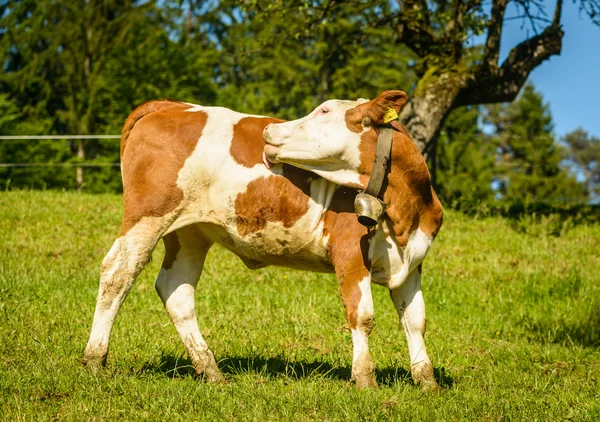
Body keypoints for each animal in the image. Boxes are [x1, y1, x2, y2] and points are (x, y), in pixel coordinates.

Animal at [82, 90, 442, 390]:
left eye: (325, 110)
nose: (269, 131)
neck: (404, 212)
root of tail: (170, 105)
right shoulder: (349, 253)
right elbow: (362, 316)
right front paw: (365, 380)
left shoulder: (413, 262)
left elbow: (416, 321)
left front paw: (426, 382)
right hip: (149, 216)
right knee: (118, 272)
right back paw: (95, 359)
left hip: (189, 233)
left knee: (176, 291)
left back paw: (210, 370)